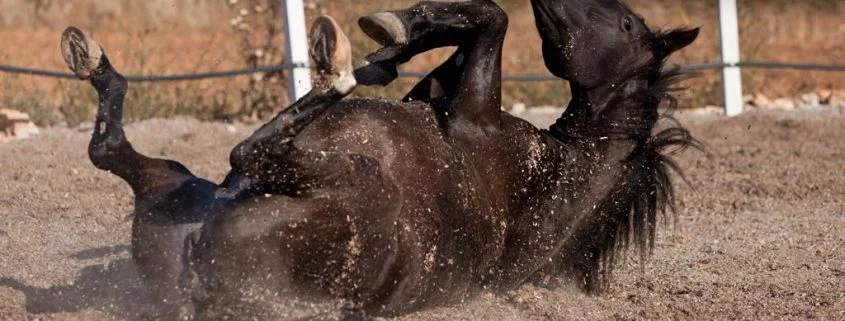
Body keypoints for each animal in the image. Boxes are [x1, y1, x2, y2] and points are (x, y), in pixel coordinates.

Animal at [59, 0, 700, 318]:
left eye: (623, 21)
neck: (558, 176)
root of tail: (200, 282)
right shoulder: (443, 95)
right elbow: (460, 37)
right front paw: (394, 41)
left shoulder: (473, 113)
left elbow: (492, 18)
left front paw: (382, 41)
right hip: (173, 185)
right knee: (108, 147)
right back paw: (91, 59)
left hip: (344, 177)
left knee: (248, 148)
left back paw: (332, 61)